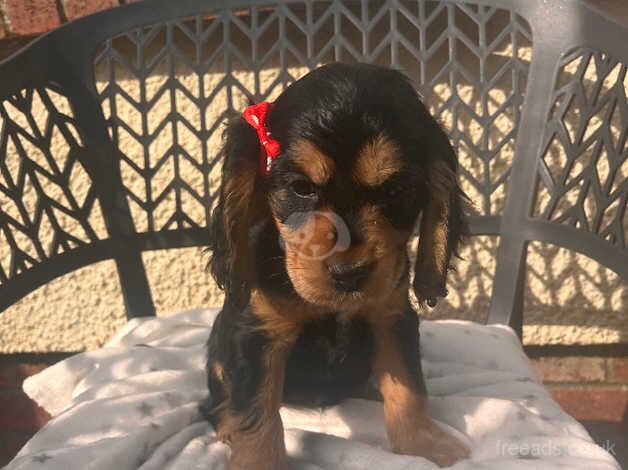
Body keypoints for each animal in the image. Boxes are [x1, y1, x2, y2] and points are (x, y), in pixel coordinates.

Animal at [201, 63, 466, 470]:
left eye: (396, 191)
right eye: (301, 188)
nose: (348, 274)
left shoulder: (392, 318)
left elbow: (408, 388)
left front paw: (426, 445)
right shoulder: (257, 334)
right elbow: (257, 411)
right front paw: (256, 459)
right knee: (218, 400)